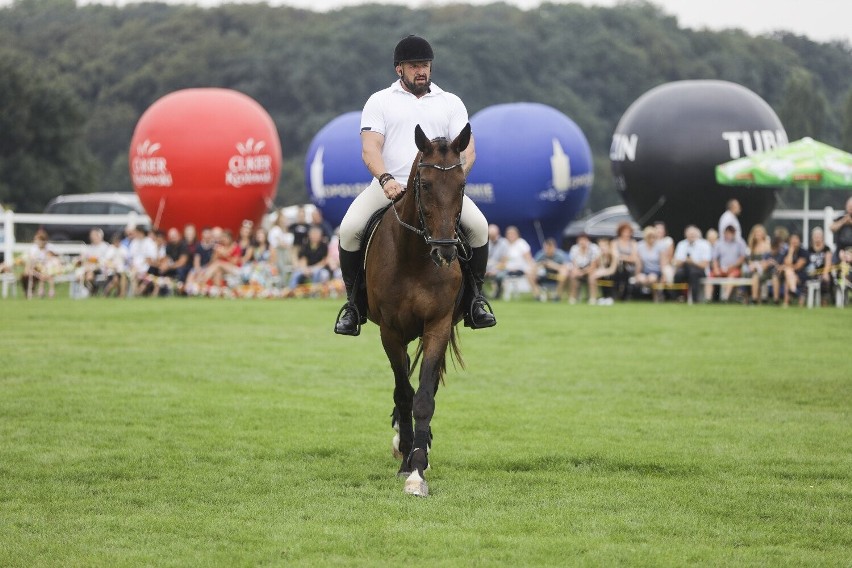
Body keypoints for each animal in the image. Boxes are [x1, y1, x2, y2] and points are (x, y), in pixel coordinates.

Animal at [366, 123, 472, 496]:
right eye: (425, 185)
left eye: (462, 184)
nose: (445, 253)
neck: (413, 256)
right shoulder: (390, 332)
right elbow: (403, 393)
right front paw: (405, 463)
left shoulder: (437, 325)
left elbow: (424, 397)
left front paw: (418, 471)